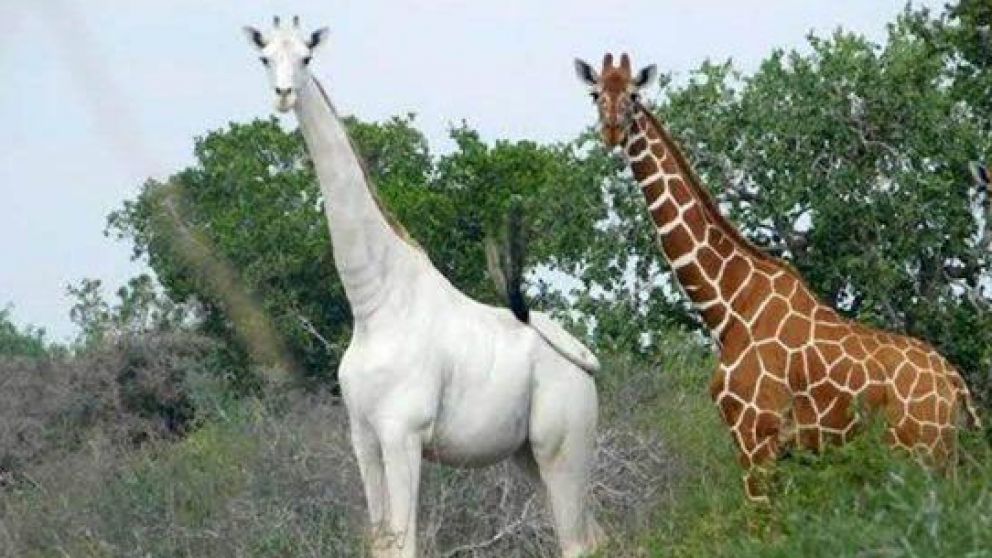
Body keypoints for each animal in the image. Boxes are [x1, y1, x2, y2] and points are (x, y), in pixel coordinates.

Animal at [243, 17, 603, 558]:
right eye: (266, 58)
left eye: (306, 57)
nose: (284, 95)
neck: (374, 304)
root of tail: (587, 362)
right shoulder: (363, 438)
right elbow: (381, 542)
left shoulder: (403, 433)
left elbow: (405, 544)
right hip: (527, 455)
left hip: (561, 447)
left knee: (579, 542)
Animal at [574, 53, 983, 502]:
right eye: (595, 94)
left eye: (633, 95)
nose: (612, 129)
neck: (728, 304)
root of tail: (956, 385)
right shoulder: (782, 450)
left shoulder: (755, 436)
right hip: (942, 457)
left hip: (922, 455)